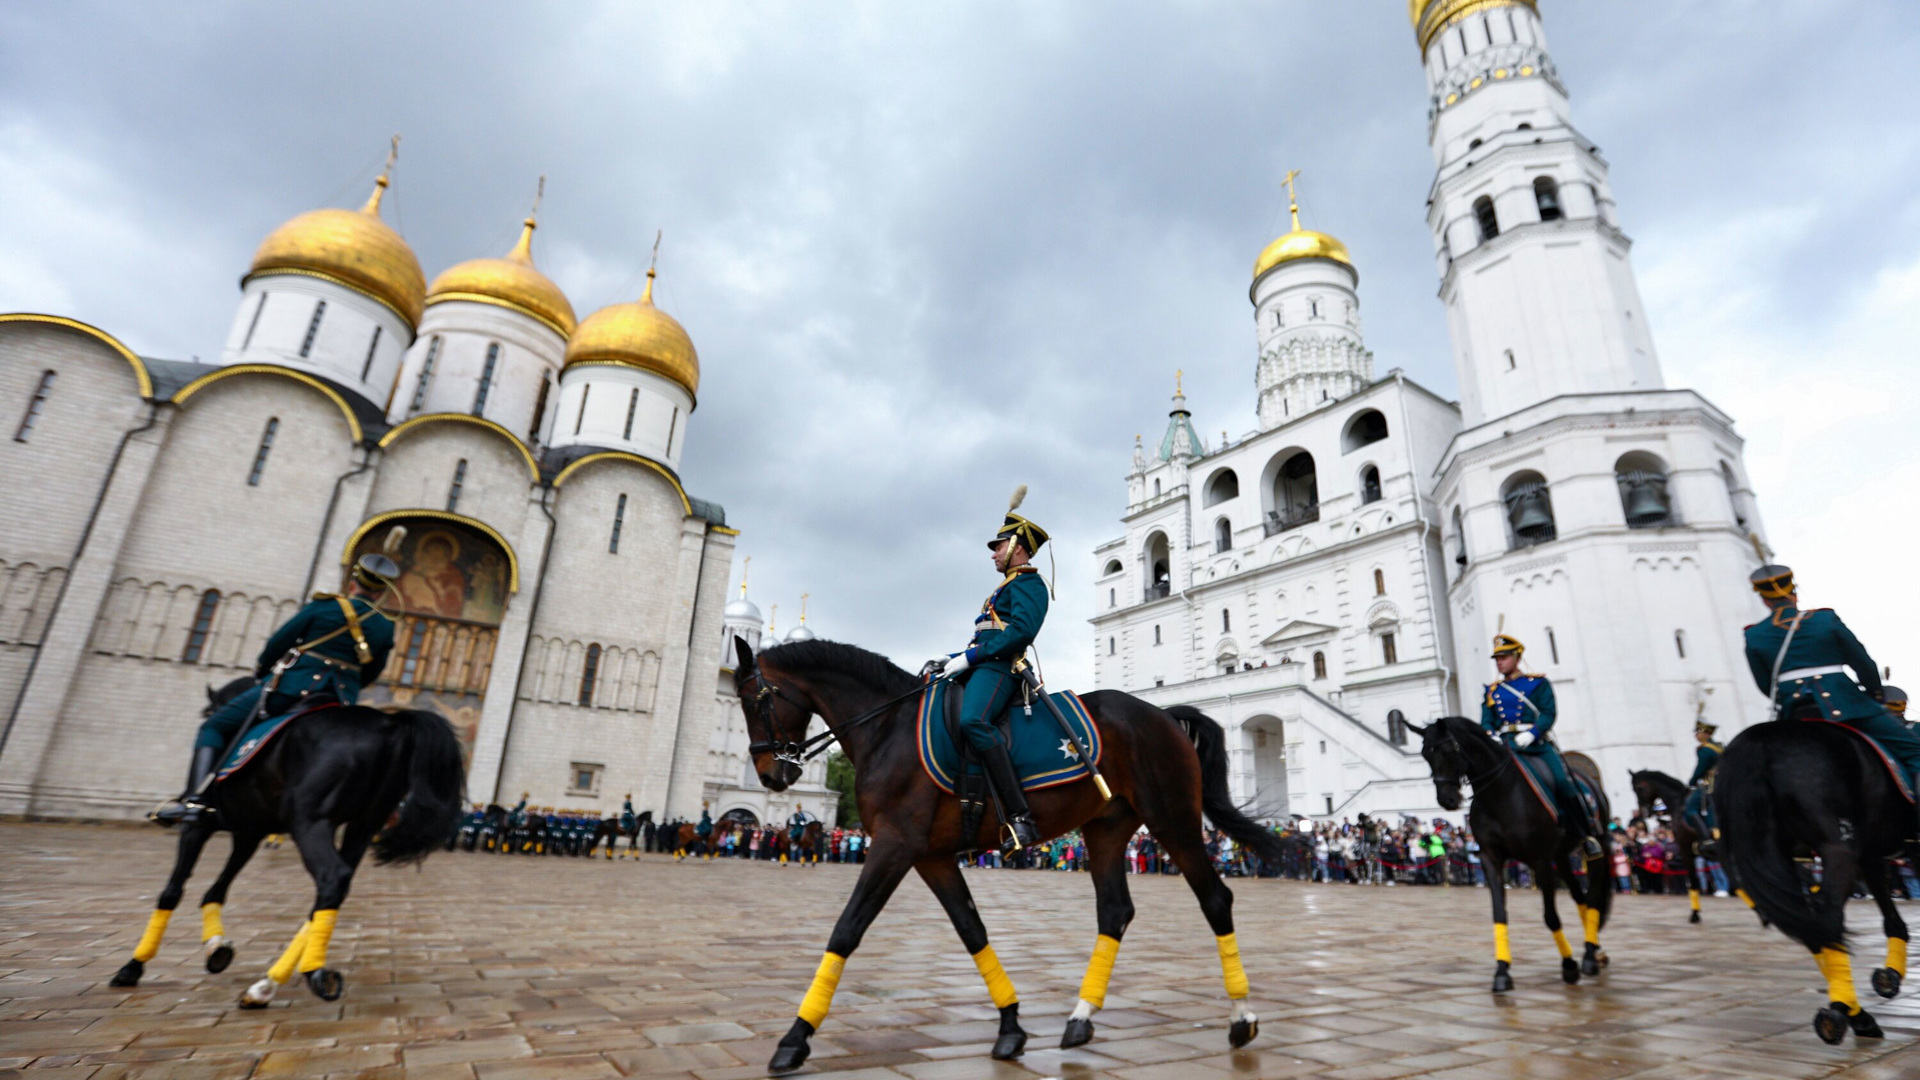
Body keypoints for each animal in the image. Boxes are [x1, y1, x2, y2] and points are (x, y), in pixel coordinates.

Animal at [108, 668, 464, 1006]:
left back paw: (308, 973)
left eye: (208, 711)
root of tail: (390, 722)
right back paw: (269, 983)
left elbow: (172, 891)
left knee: (332, 877)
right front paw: (217, 946)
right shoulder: (248, 832)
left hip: (311, 824)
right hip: (362, 827)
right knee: (332, 891)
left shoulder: (197, 827)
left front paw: (134, 965)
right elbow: (216, 890)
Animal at [733, 634, 1290, 1068]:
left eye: (753, 700)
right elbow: (972, 929)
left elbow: (846, 930)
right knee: (1114, 912)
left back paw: (1242, 1017)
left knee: (1215, 899)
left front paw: (795, 1038)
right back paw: (1080, 1019)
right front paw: (1010, 1027)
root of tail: (1163, 714)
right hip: (1106, 830)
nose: (769, 774)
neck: (888, 729)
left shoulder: (893, 845)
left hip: (1173, 820)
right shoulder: (930, 856)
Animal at [1405, 718, 1612, 991]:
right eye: (1425, 755)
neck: (1500, 793)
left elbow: (1550, 916)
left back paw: (1589, 955)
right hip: (1561, 856)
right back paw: (1595, 951)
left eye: (1450, 750)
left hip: (1595, 846)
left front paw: (1568, 965)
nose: (1447, 799)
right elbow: (1499, 914)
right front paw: (1502, 971)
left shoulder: (1539, 861)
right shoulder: (1491, 859)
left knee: (1593, 896)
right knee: (1581, 898)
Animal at [1720, 718, 1912, 1037]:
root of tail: (1759, 739)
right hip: (1838, 848)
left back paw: (1854, 1011)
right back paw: (1843, 1013)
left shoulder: (1870, 857)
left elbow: (1892, 919)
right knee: (1827, 917)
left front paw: (1889, 975)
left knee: (1813, 924)